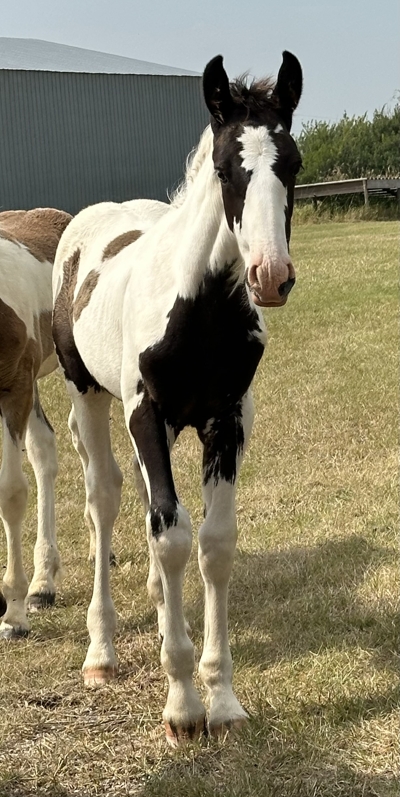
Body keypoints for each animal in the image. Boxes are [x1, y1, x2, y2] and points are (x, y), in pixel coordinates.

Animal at [52, 51, 303, 745]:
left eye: (294, 163)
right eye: (223, 168)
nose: (270, 277)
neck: (199, 310)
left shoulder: (227, 420)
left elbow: (212, 542)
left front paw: (221, 698)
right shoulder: (146, 411)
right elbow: (169, 534)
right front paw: (183, 707)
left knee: (148, 510)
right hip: (89, 394)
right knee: (107, 501)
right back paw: (102, 652)